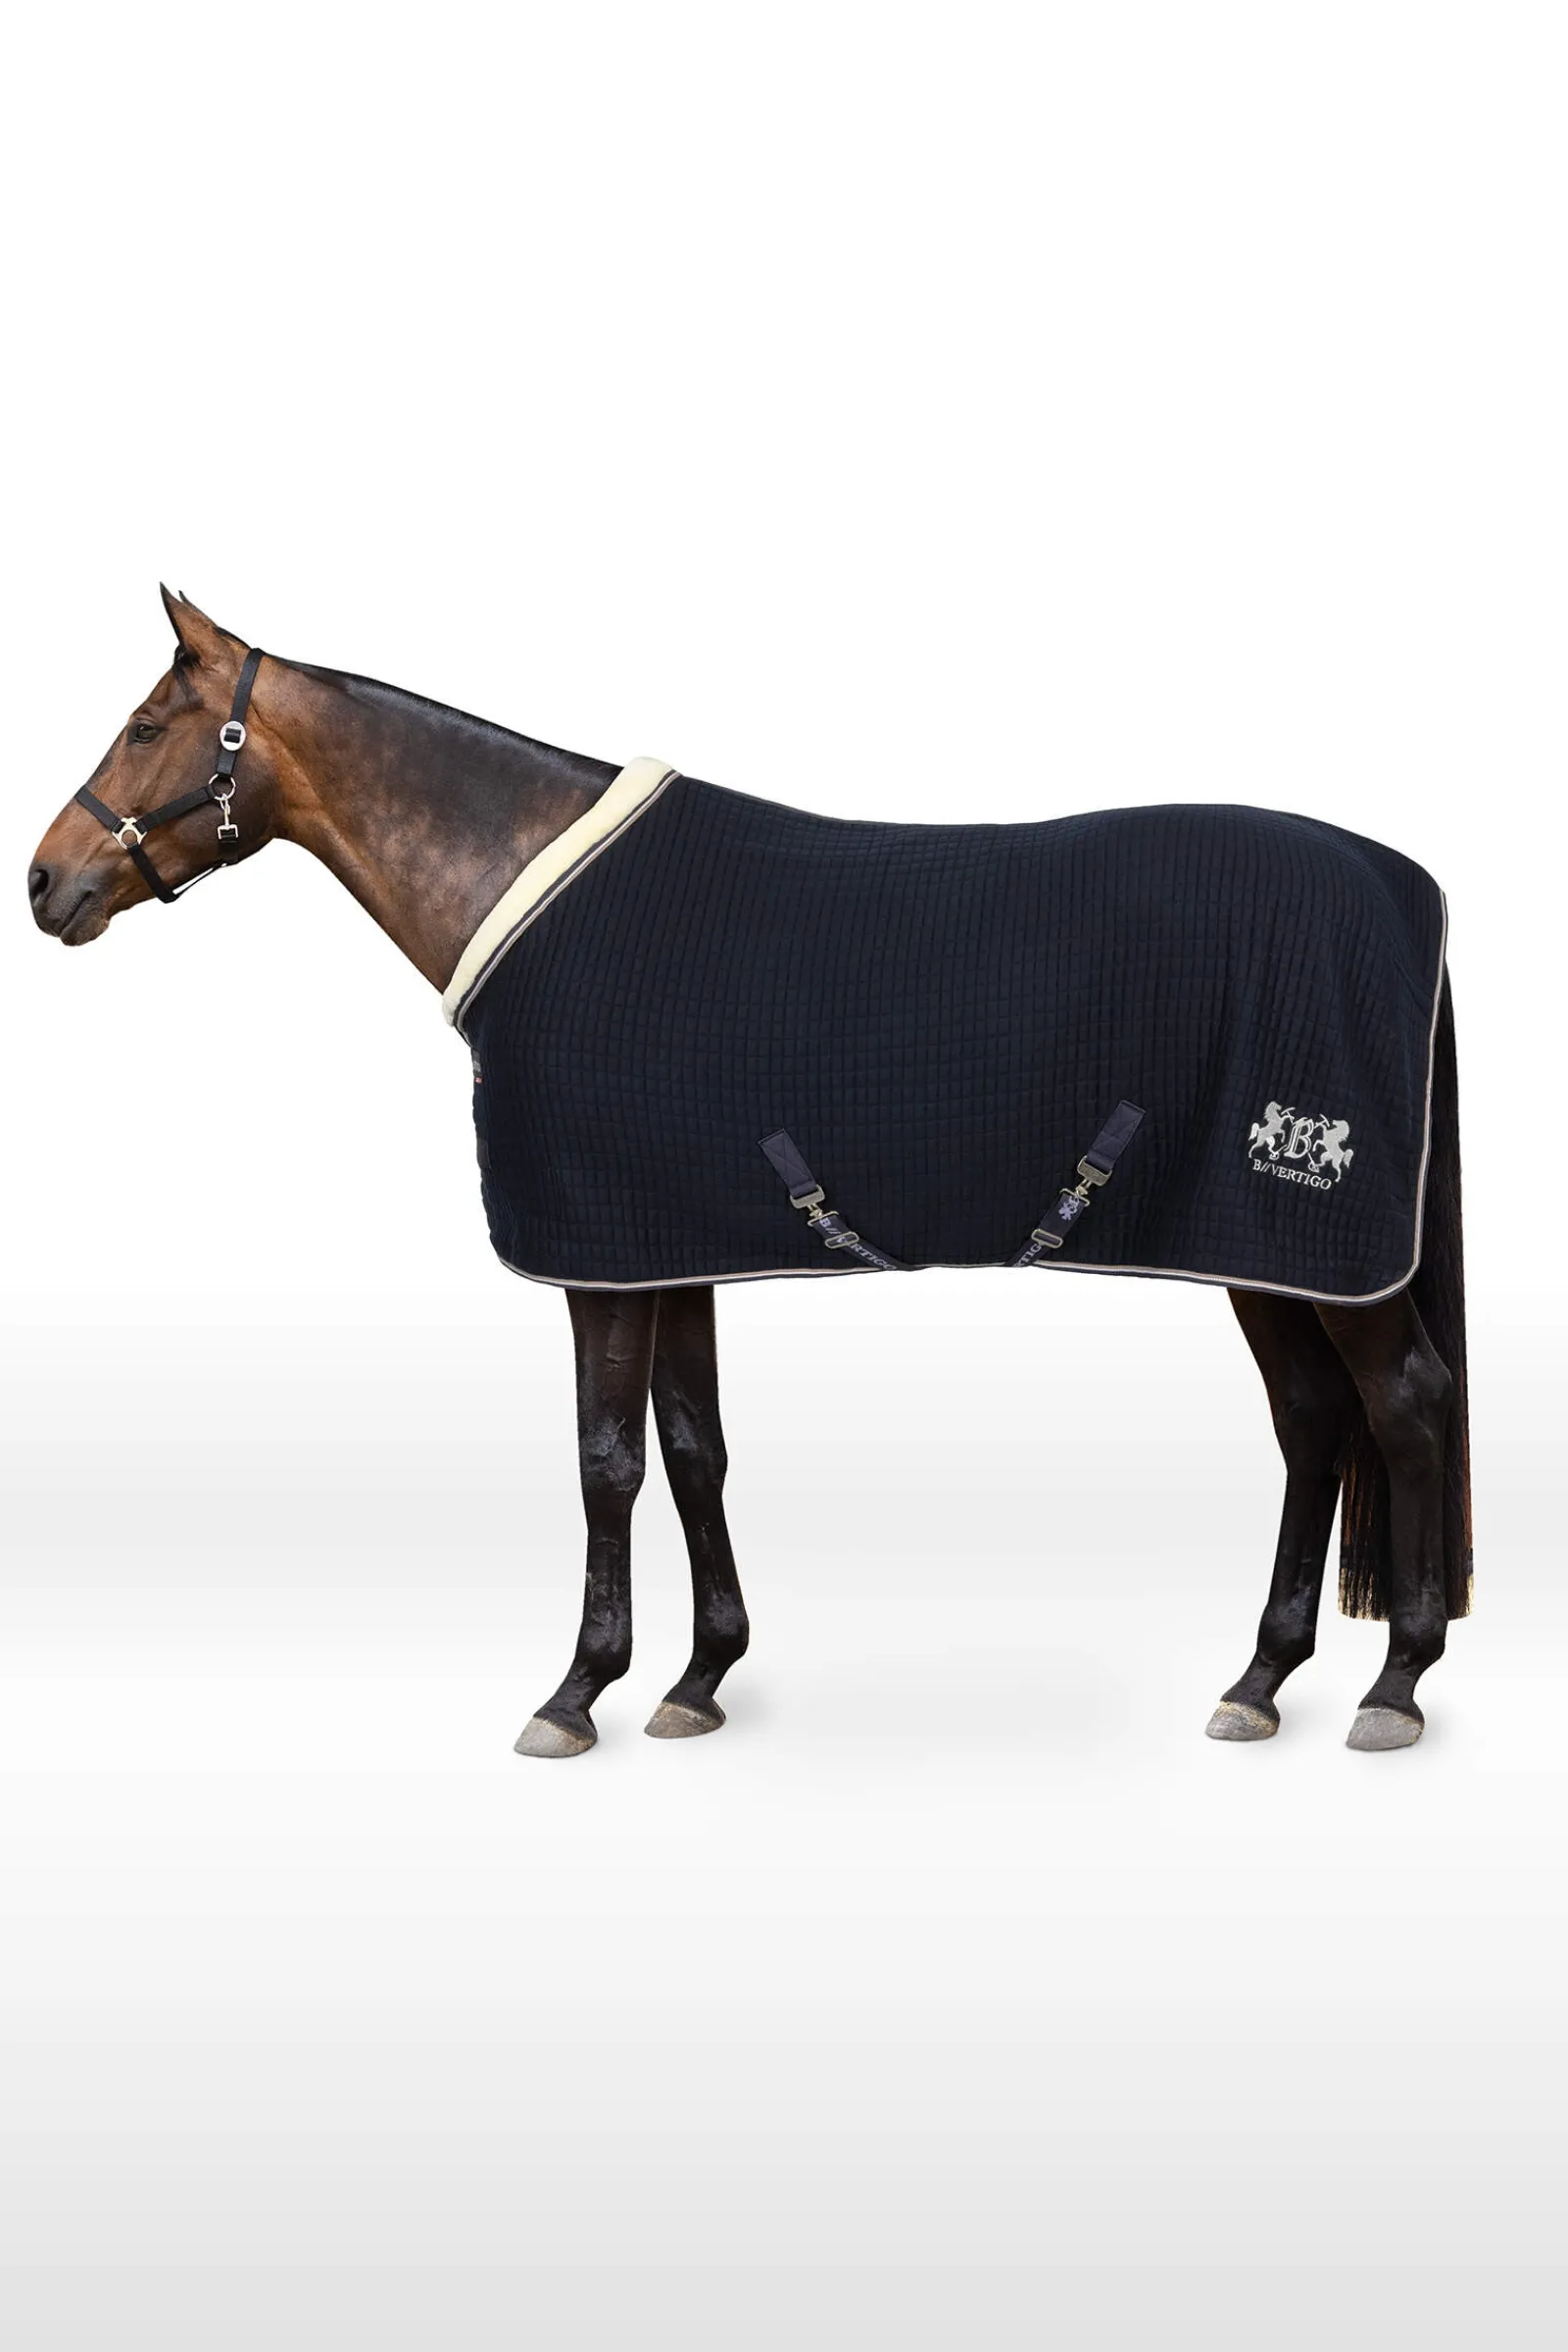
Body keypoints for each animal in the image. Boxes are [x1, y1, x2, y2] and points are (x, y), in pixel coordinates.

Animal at [28, 590, 1471, 1759]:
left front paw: (577, 1694)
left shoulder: (598, 1261)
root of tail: (1404, 888)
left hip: (1317, 1250)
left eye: (149, 726)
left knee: (1402, 1405)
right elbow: (692, 1449)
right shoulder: (665, 1242)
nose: (46, 884)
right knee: (1314, 1423)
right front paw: (698, 1678)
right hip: (1259, 1254)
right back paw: (1262, 1680)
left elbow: (606, 1459)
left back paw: (1394, 1684)